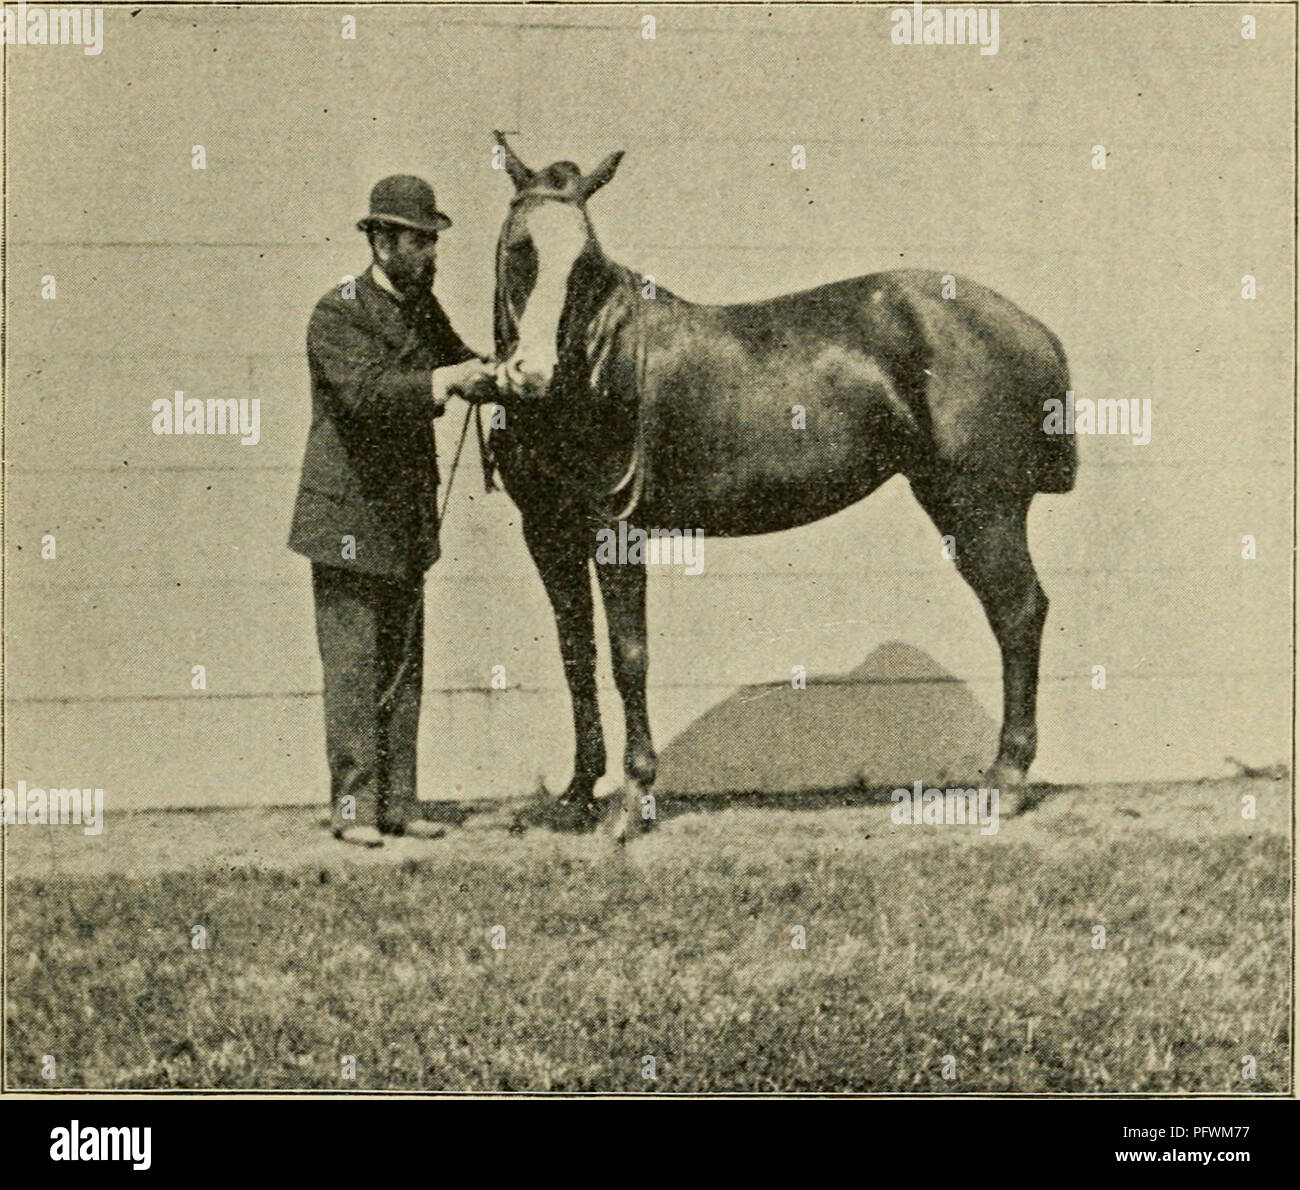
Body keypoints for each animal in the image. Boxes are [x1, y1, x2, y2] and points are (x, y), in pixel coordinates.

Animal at [488, 134, 1075, 840]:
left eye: (584, 264)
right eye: (520, 247)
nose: (531, 373)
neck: (595, 368)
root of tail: (1030, 327)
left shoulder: (617, 531)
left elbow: (629, 656)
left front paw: (631, 802)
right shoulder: (548, 533)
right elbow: (577, 655)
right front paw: (576, 796)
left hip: (982, 507)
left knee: (1018, 613)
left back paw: (1007, 782)